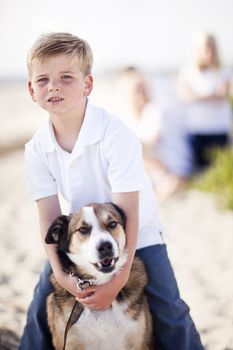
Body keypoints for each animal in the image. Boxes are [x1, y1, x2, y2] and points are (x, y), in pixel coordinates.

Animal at [45, 202, 155, 350]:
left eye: (112, 224)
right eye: (83, 229)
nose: (105, 246)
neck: (99, 281)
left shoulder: (138, 341)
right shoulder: (69, 343)